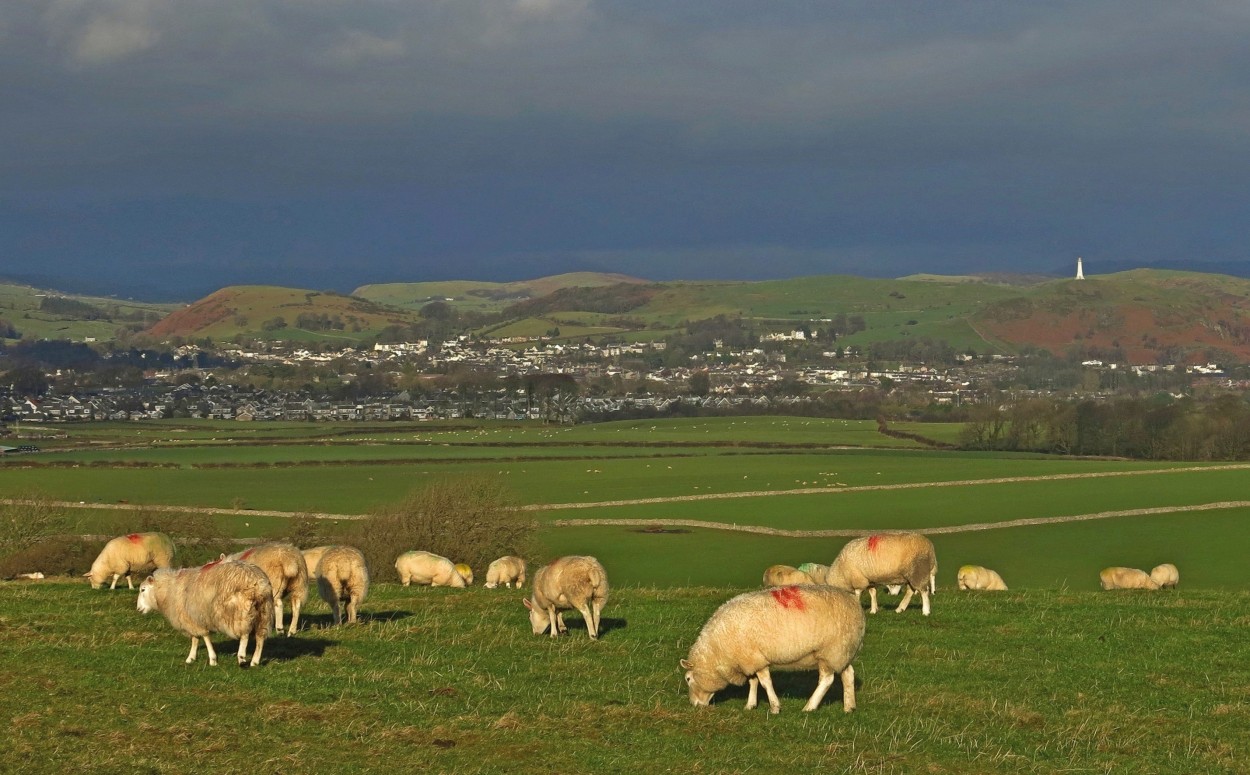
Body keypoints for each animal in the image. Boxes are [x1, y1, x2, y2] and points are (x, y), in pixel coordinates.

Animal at [136, 560, 273, 670]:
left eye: (143, 589)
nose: (138, 609)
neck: (168, 590)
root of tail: (257, 583)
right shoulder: (192, 619)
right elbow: (195, 639)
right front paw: (191, 658)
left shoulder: (196, 620)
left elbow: (205, 637)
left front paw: (212, 659)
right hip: (264, 613)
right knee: (260, 637)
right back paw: (255, 661)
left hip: (239, 613)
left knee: (244, 635)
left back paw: (242, 658)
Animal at [680, 587, 865, 715]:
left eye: (688, 679)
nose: (694, 705)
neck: (717, 649)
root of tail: (854, 603)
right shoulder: (750, 659)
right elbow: (753, 682)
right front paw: (750, 705)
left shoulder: (755, 658)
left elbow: (765, 683)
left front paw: (775, 707)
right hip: (842, 651)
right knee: (848, 674)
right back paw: (849, 706)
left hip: (830, 651)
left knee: (826, 680)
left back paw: (809, 707)